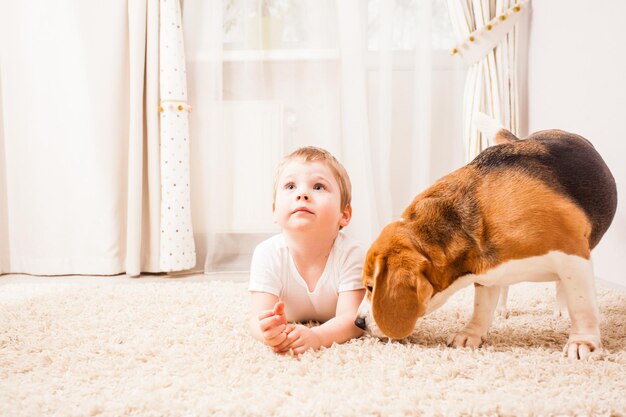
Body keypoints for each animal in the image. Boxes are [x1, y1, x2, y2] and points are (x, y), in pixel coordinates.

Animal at [354, 116, 616, 358]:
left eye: (370, 287)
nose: (358, 322)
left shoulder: (573, 255)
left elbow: (582, 305)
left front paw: (583, 342)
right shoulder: (486, 271)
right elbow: (481, 307)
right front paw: (471, 334)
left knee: (563, 285)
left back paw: (562, 309)